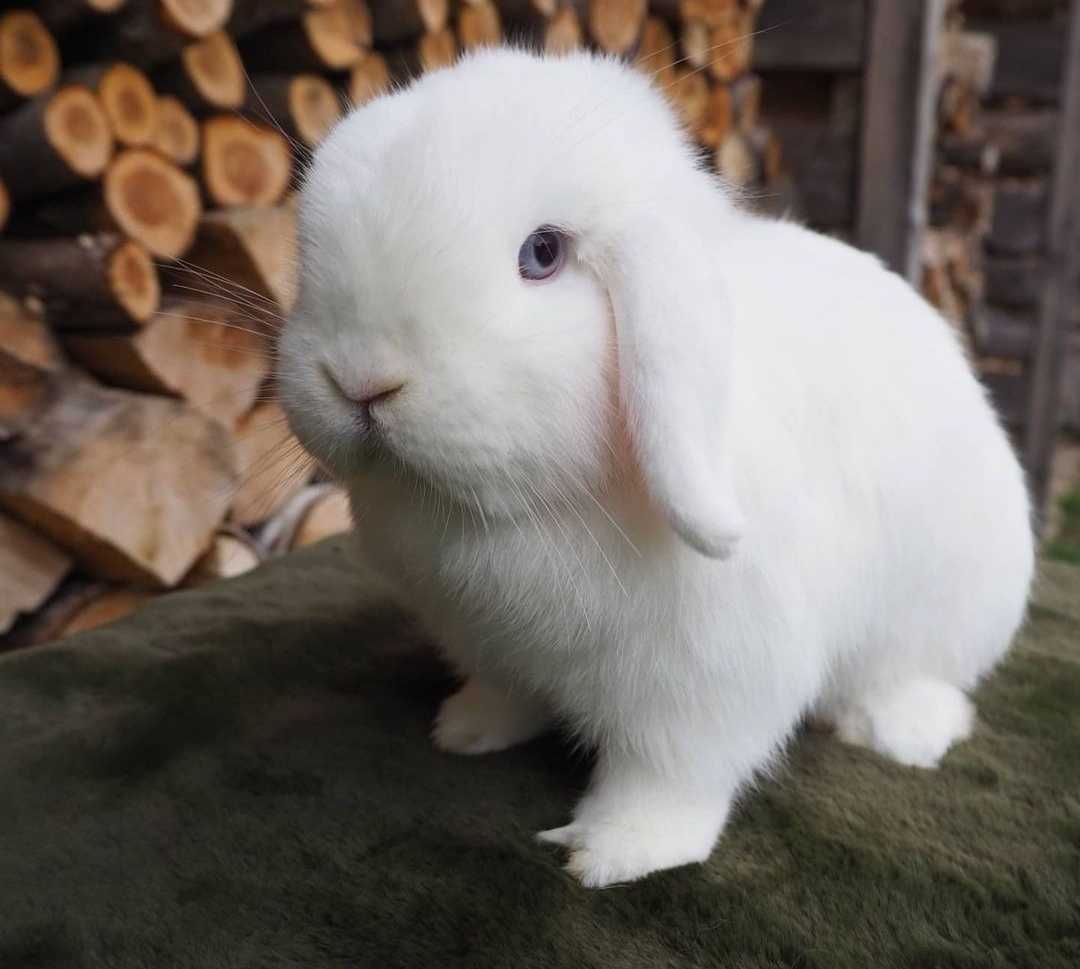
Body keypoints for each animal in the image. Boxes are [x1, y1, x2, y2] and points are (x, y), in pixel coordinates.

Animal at [276, 51, 1028, 885]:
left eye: (542, 254)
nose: (360, 379)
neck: (524, 510)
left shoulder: (707, 682)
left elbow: (668, 773)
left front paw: (612, 852)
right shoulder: (489, 642)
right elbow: (506, 694)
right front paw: (466, 730)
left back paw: (896, 732)